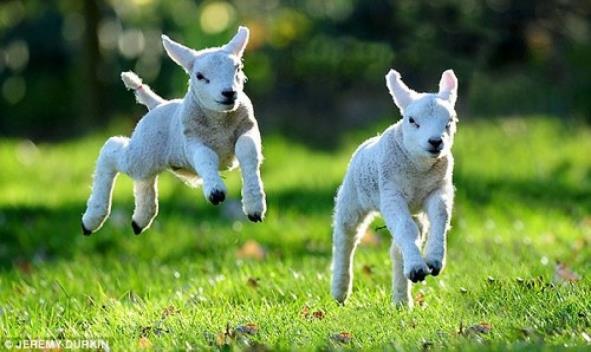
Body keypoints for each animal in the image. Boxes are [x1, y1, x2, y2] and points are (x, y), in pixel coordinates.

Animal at [82, 26, 268, 236]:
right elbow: (205, 157)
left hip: (147, 158)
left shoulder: (247, 127)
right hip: (142, 151)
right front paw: (216, 191)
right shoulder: (192, 140)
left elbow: (247, 149)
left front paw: (255, 205)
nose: (229, 93)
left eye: (237, 69)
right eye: (200, 76)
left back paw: (140, 220)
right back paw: (92, 219)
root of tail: (157, 104)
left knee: (144, 181)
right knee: (110, 149)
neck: (220, 124)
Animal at [330, 68, 460, 306]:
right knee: (346, 238)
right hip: (351, 199)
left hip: (414, 211)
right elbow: (406, 229)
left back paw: (402, 299)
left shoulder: (439, 190)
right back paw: (340, 291)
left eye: (450, 121)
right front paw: (420, 266)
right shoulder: (391, 194)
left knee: (399, 247)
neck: (419, 171)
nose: (435, 141)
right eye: (412, 120)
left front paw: (433, 260)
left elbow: (441, 218)